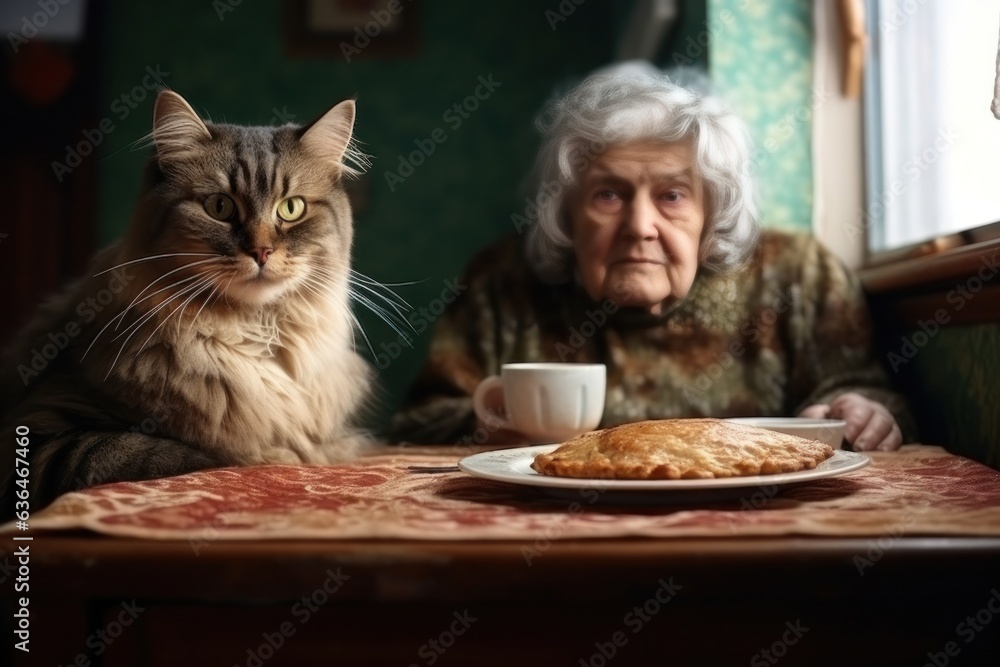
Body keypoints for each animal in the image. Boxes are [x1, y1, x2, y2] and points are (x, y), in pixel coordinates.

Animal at [0, 87, 380, 506]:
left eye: (291, 208)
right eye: (220, 207)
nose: (261, 252)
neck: (248, 336)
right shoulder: (37, 430)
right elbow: (190, 454)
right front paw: (274, 455)